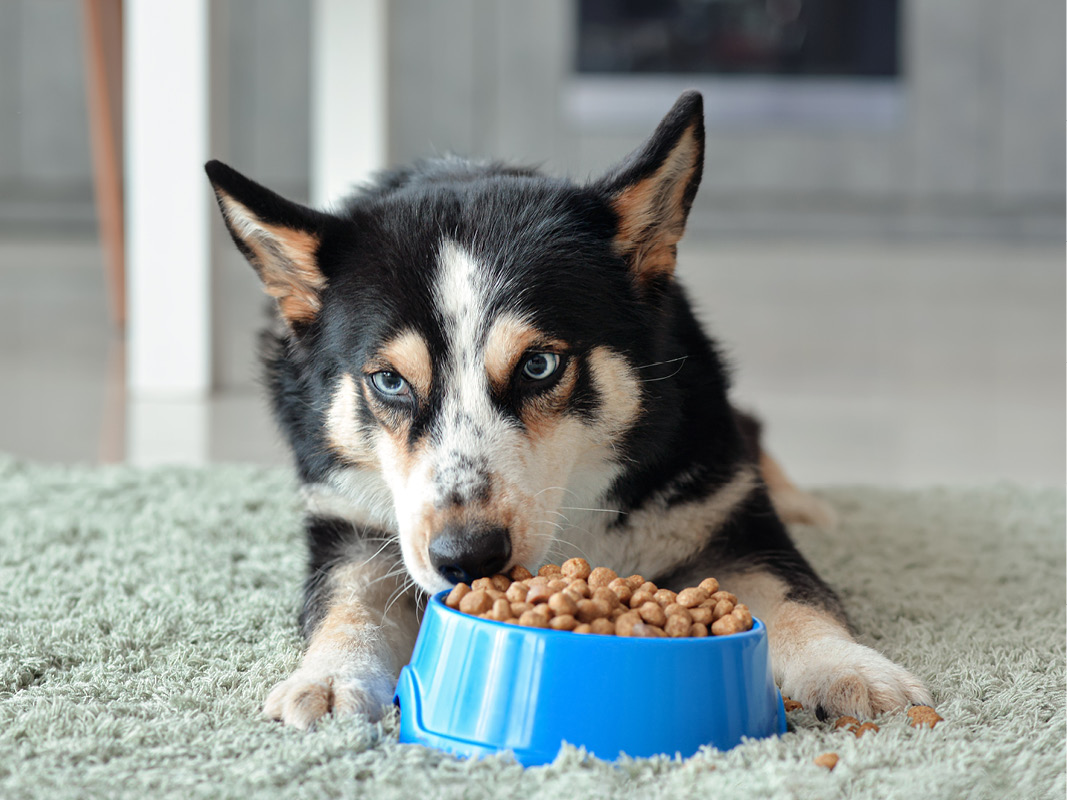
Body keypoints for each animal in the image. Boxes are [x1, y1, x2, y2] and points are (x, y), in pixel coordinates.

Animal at [203, 90, 930, 729]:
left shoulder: (726, 515)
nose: (466, 556)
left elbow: (797, 597)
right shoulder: (351, 521)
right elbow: (348, 601)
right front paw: (328, 680)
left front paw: (851, 668)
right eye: (387, 381)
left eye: (539, 366)